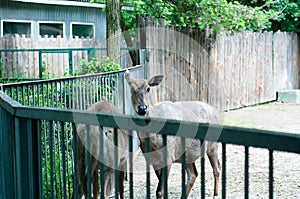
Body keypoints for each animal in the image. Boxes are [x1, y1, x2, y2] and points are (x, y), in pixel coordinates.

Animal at [124, 70, 220, 198]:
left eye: (148, 88)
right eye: (131, 88)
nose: (142, 108)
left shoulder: (169, 156)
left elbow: (160, 191)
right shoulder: (152, 159)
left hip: (213, 145)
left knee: (216, 169)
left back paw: (215, 194)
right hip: (187, 154)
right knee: (193, 174)